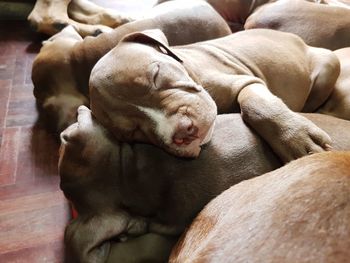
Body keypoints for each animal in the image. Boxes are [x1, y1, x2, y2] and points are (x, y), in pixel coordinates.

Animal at [89, 27, 340, 162]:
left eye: (156, 75)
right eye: (132, 132)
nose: (183, 132)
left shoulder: (246, 82)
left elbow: (257, 105)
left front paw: (296, 137)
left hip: (329, 65)